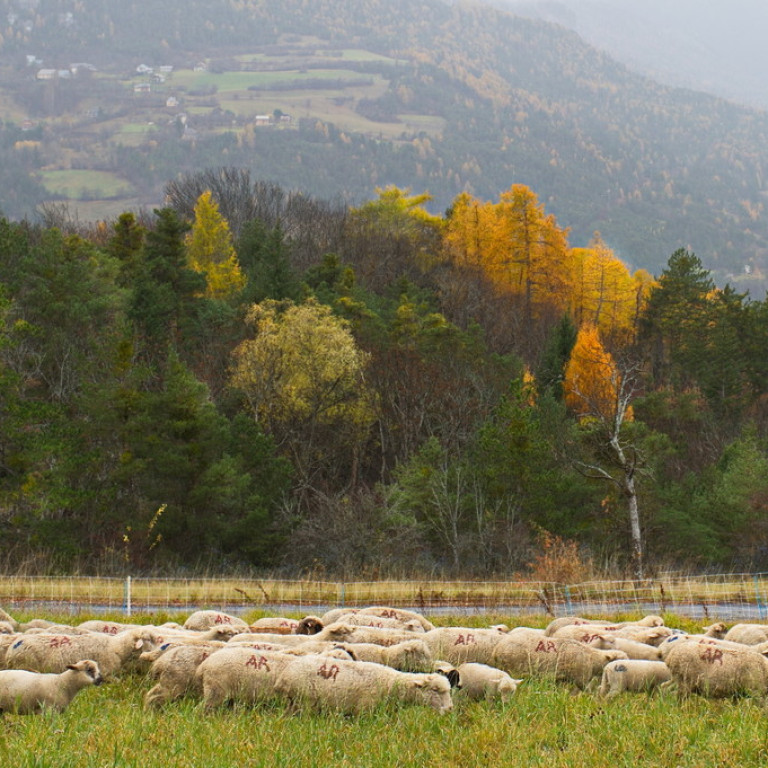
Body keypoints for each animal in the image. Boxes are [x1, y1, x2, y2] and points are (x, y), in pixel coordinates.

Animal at [272, 656, 452, 712]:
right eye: (435, 690)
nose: (450, 708)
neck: (391, 683)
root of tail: (282, 677)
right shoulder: (365, 710)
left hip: (292, 703)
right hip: (304, 701)